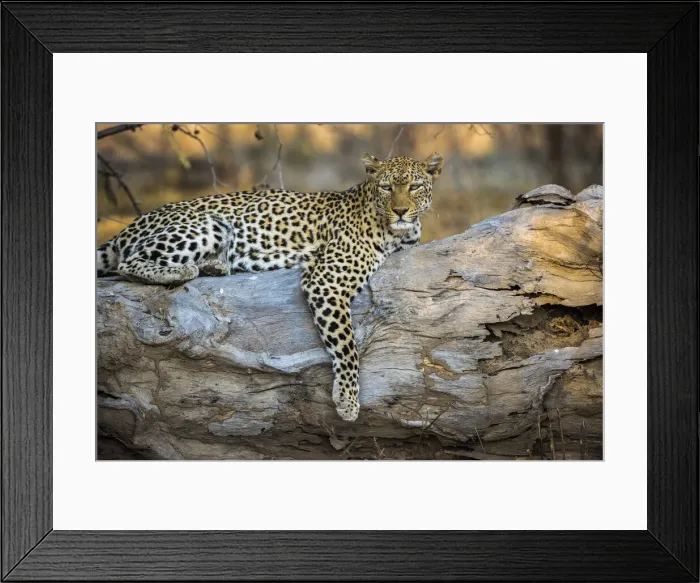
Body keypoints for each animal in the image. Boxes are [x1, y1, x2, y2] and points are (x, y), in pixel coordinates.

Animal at [97, 152, 445, 422]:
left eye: (414, 186)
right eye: (386, 187)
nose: (400, 210)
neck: (398, 232)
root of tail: (129, 227)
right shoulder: (327, 280)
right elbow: (347, 345)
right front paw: (347, 400)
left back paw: (215, 265)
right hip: (208, 225)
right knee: (129, 262)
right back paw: (183, 269)